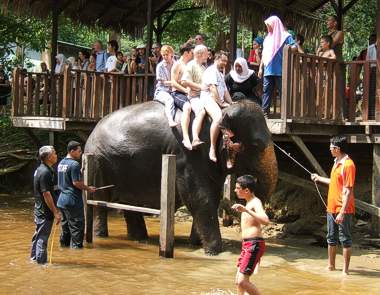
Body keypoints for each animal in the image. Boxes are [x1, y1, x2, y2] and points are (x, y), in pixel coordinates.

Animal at [84, 100, 278, 256]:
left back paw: (140, 238)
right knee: (99, 203)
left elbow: (212, 196)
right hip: (98, 162)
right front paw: (214, 252)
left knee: (130, 204)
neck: (219, 113)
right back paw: (101, 236)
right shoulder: (187, 154)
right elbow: (199, 197)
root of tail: (91, 133)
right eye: (256, 145)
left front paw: (195, 244)